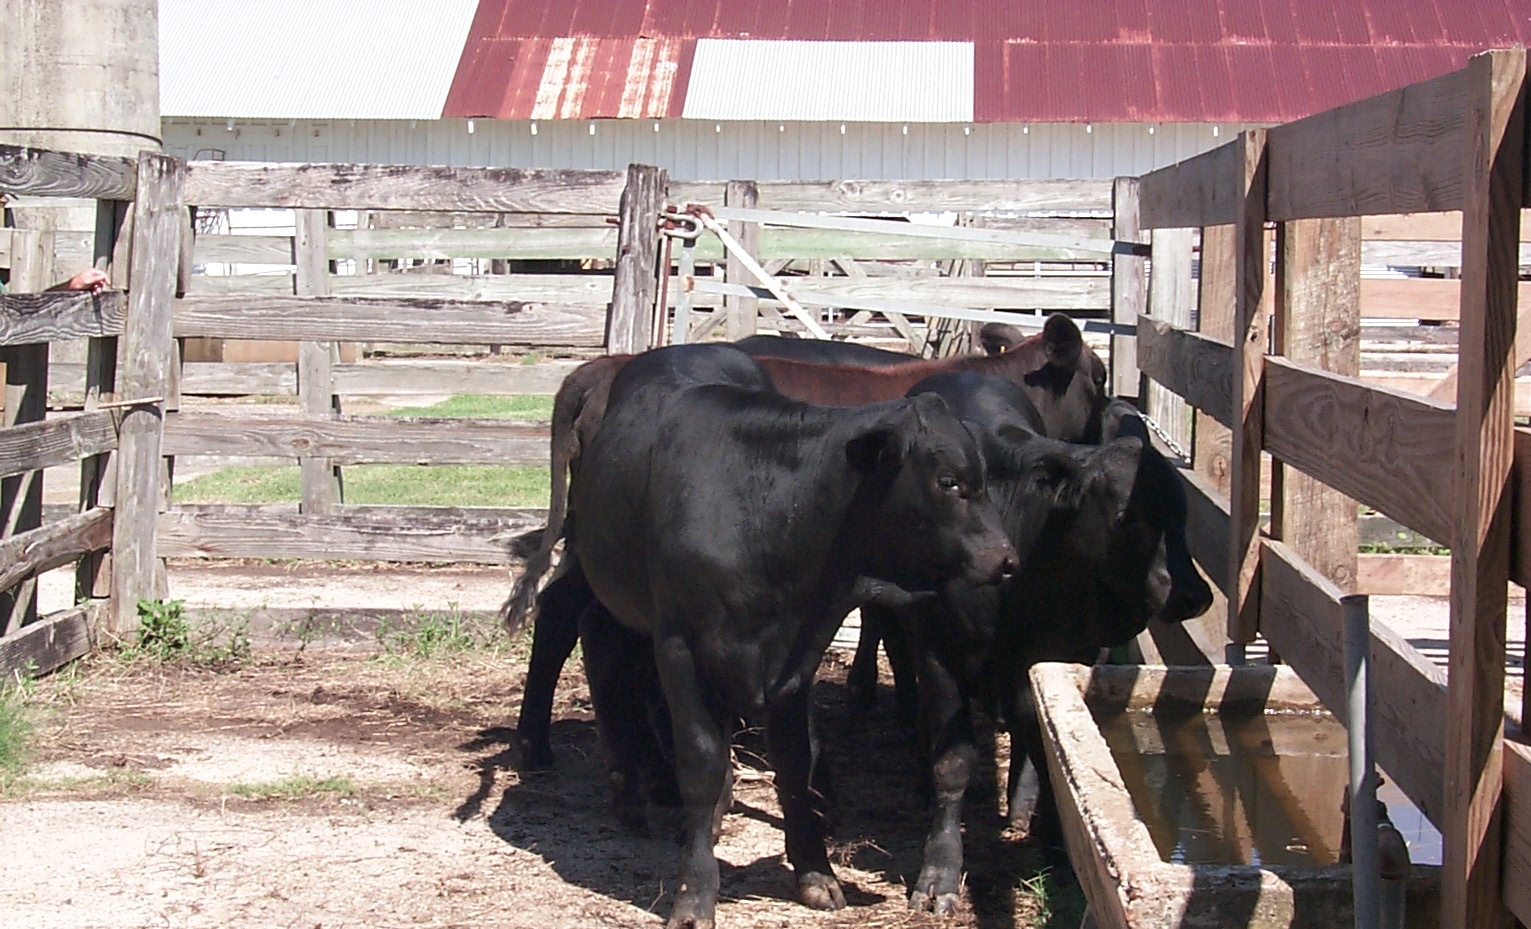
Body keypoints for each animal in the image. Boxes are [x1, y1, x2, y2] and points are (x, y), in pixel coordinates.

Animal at [564, 343, 1018, 929]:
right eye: (948, 481)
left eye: (982, 478)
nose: (1006, 560)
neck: (770, 511)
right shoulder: (680, 644)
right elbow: (702, 763)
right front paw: (695, 895)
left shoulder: (797, 653)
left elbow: (795, 760)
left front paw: (814, 872)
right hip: (605, 578)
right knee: (595, 641)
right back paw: (630, 793)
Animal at [851, 374, 1213, 914]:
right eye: (1128, 516)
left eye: (1183, 514)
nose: (1194, 594)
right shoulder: (939, 652)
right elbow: (953, 762)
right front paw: (939, 871)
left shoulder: (1067, 660)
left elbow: (1051, 748)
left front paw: (1057, 842)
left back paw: (1020, 803)